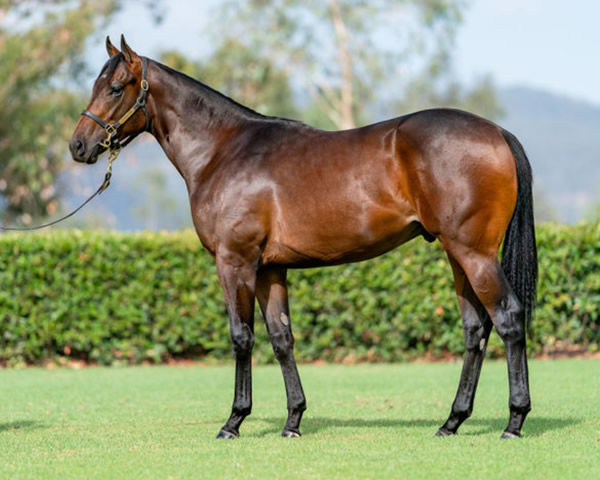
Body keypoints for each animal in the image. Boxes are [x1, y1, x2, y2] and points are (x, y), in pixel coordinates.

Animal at [68, 34, 536, 438]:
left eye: (116, 88)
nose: (78, 146)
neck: (225, 151)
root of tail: (497, 132)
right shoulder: (270, 270)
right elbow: (281, 339)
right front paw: (292, 420)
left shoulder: (235, 261)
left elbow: (241, 337)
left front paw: (234, 421)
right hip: (457, 256)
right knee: (475, 330)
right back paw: (452, 422)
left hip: (474, 254)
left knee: (509, 319)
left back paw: (514, 421)